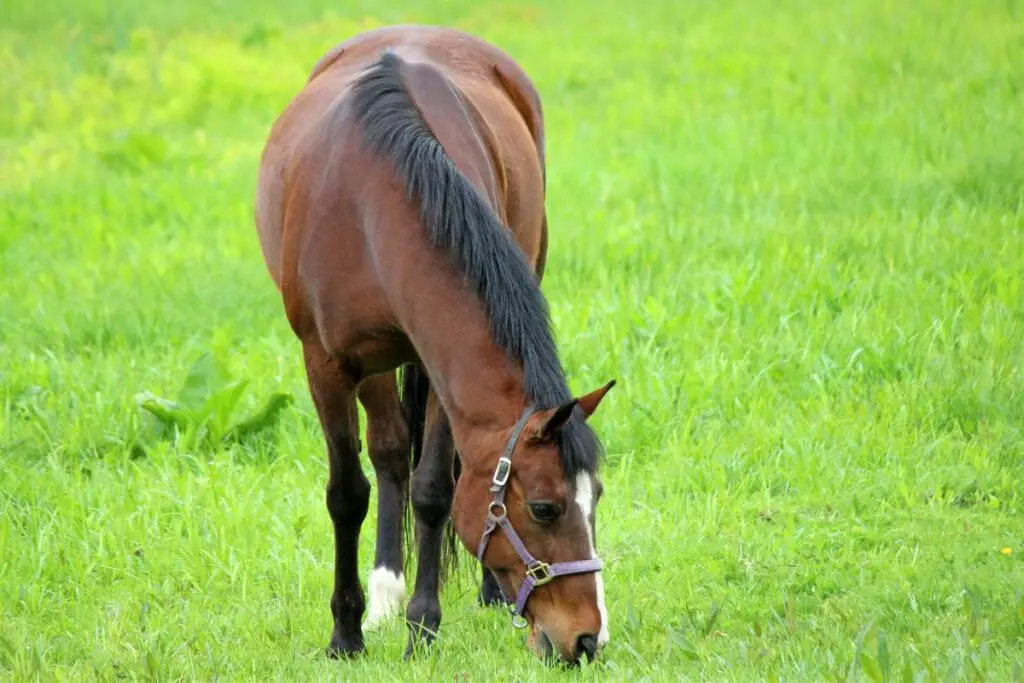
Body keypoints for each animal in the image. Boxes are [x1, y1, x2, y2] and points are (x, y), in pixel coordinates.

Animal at [253, 24, 614, 663]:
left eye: (594, 497)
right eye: (545, 508)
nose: (587, 639)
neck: (369, 201)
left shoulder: (439, 366)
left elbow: (434, 490)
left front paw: (423, 625)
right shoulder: (327, 365)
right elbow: (347, 493)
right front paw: (346, 633)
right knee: (389, 451)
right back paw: (382, 597)